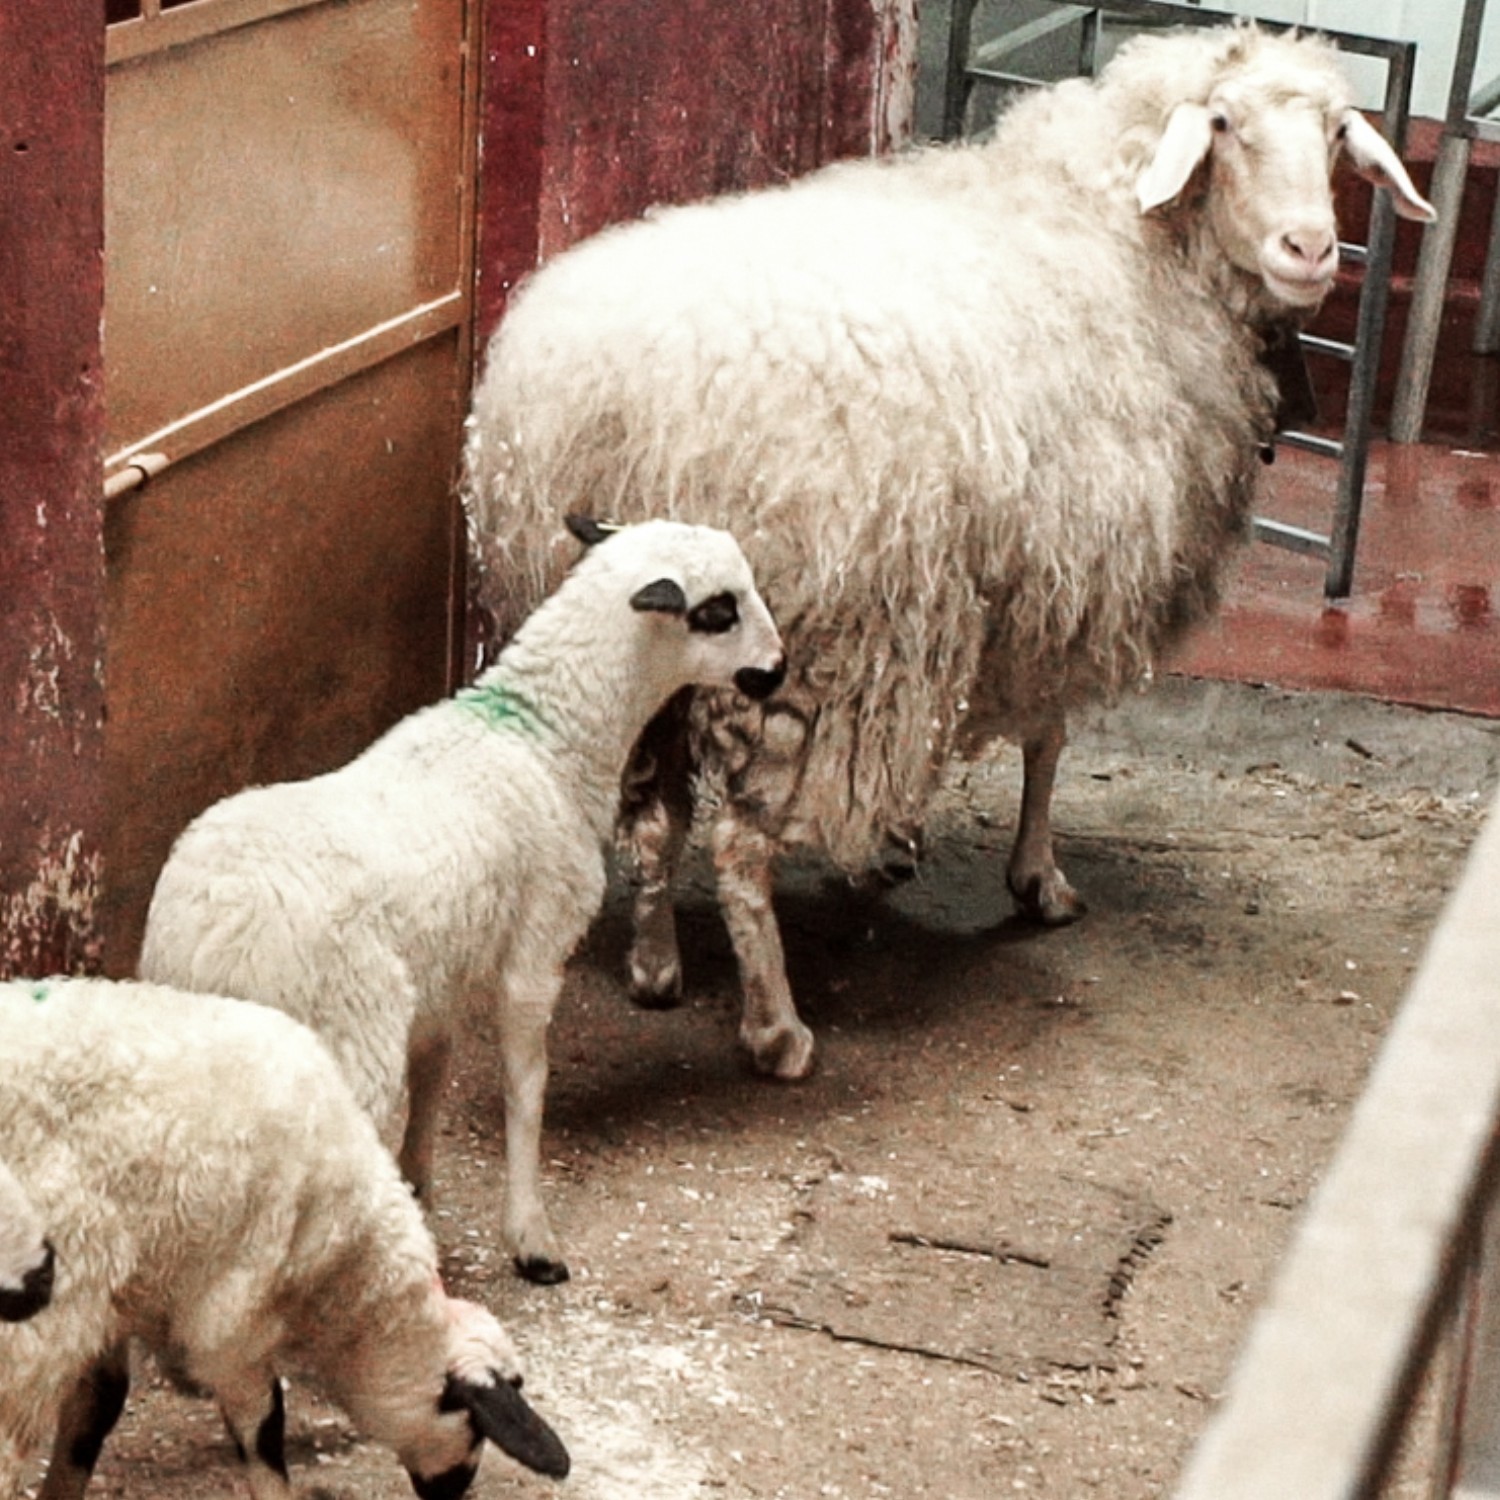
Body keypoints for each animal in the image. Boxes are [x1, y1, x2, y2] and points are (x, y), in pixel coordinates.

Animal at [141, 519, 786, 1290]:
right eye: (718, 611)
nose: (778, 669)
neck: (543, 738)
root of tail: (215, 935)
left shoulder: (440, 975)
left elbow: (434, 1075)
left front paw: (419, 1183)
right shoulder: (534, 953)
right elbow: (526, 1089)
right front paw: (532, 1237)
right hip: (344, 1037)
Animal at [462, 20, 1434, 1080]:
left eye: (1338, 132)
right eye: (1221, 124)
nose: (1311, 250)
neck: (1126, 236)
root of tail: (619, 409)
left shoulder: (1019, 582)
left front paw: (906, 841)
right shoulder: (1071, 571)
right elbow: (1049, 737)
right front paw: (1038, 879)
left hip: (625, 637)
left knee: (648, 814)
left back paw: (655, 967)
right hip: (812, 649)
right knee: (739, 848)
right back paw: (777, 1030)